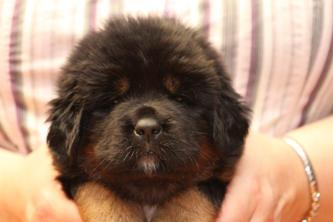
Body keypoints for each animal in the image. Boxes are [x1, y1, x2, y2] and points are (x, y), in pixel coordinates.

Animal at [47, 16, 249, 221]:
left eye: (180, 99)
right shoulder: (74, 175)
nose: (147, 129)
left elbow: (191, 198)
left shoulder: (215, 179)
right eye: (114, 100)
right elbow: (100, 193)